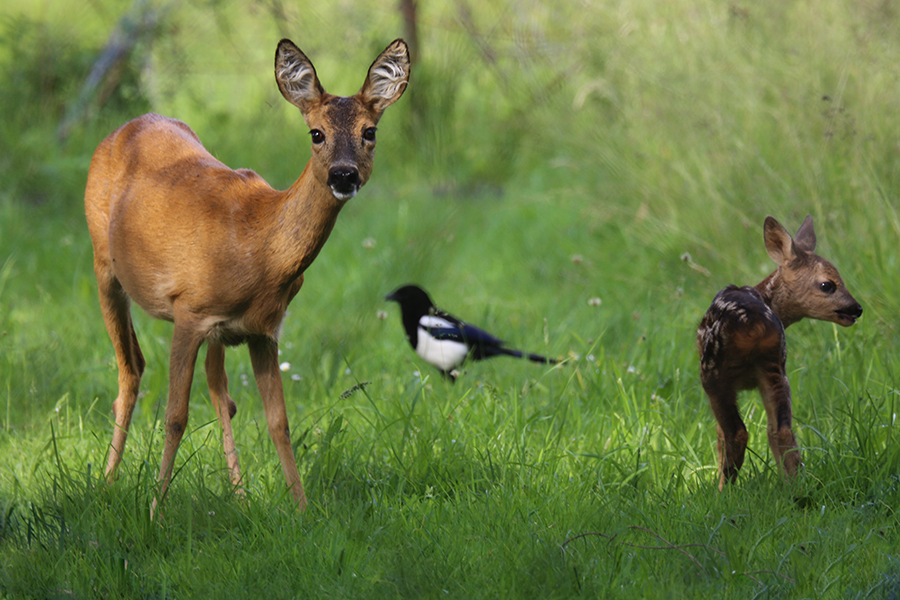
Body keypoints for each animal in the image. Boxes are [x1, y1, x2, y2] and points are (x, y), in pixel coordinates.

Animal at [86, 37, 410, 510]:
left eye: (370, 132)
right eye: (316, 133)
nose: (343, 175)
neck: (261, 250)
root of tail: (121, 129)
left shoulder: (263, 330)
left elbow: (278, 421)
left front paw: (302, 509)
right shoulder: (188, 311)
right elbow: (175, 416)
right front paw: (155, 509)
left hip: (218, 333)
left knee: (218, 387)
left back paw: (237, 494)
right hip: (104, 265)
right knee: (130, 370)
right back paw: (108, 482)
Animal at [696, 214, 864, 488]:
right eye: (828, 284)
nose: (857, 308)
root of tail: (754, 324)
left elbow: (720, 433)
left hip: (713, 371)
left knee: (736, 432)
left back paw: (722, 490)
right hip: (775, 366)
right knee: (781, 430)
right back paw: (793, 487)